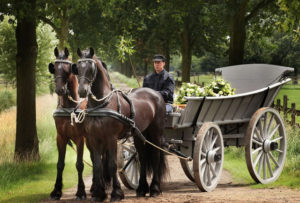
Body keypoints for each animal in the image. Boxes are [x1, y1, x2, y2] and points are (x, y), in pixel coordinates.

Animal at [48, 47, 87, 200]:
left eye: (67, 69)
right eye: (54, 69)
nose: (60, 90)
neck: (70, 108)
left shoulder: (80, 139)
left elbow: (79, 164)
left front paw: (81, 192)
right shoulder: (61, 138)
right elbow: (60, 164)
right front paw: (56, 190)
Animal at [71, 48, 168, 201]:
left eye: (91, 68)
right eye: (78, 67)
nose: (82, 91)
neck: (101, 105)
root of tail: (156, 94)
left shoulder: (111, 138)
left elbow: (112, 165)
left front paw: (116, 193)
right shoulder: (94, 138)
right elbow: (97, 165)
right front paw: (99, 194)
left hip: (156, 132)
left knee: (156, 156)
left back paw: (155, 189)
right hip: (139, 134)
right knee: (142, 157)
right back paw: (141, 189)